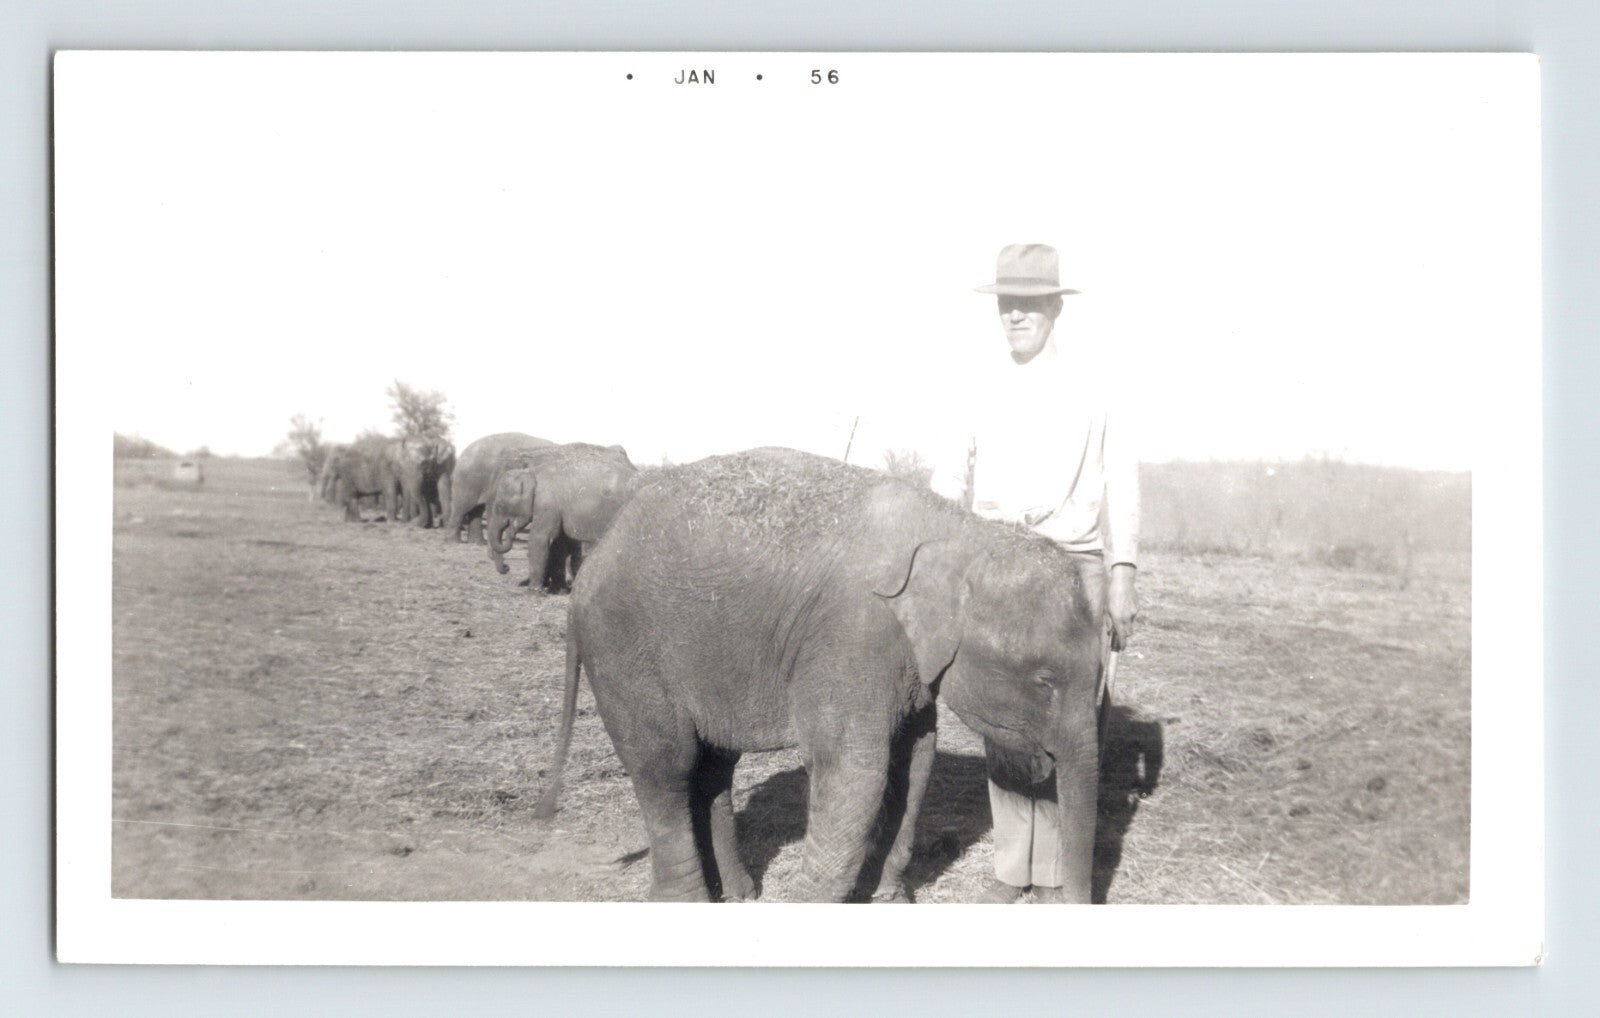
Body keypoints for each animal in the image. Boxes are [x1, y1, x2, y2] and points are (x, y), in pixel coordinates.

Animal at [485, 442, 636, 591]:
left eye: (499, 506)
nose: (506, 568)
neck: (532, 470)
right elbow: (557, 540)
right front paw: (554, 588)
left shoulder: (547, 504)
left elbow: (540, 538)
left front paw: (536, 590)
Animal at [536, 448, 1103, 904]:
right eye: (1044, 680)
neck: (960, 532)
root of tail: (594, 563)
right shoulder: (851, 635)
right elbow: (855, 768)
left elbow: (914, 761)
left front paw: (887, 900)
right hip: (625, 648)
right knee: (666, 765)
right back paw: (686, 902)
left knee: (712, 766)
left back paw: (738, 893)